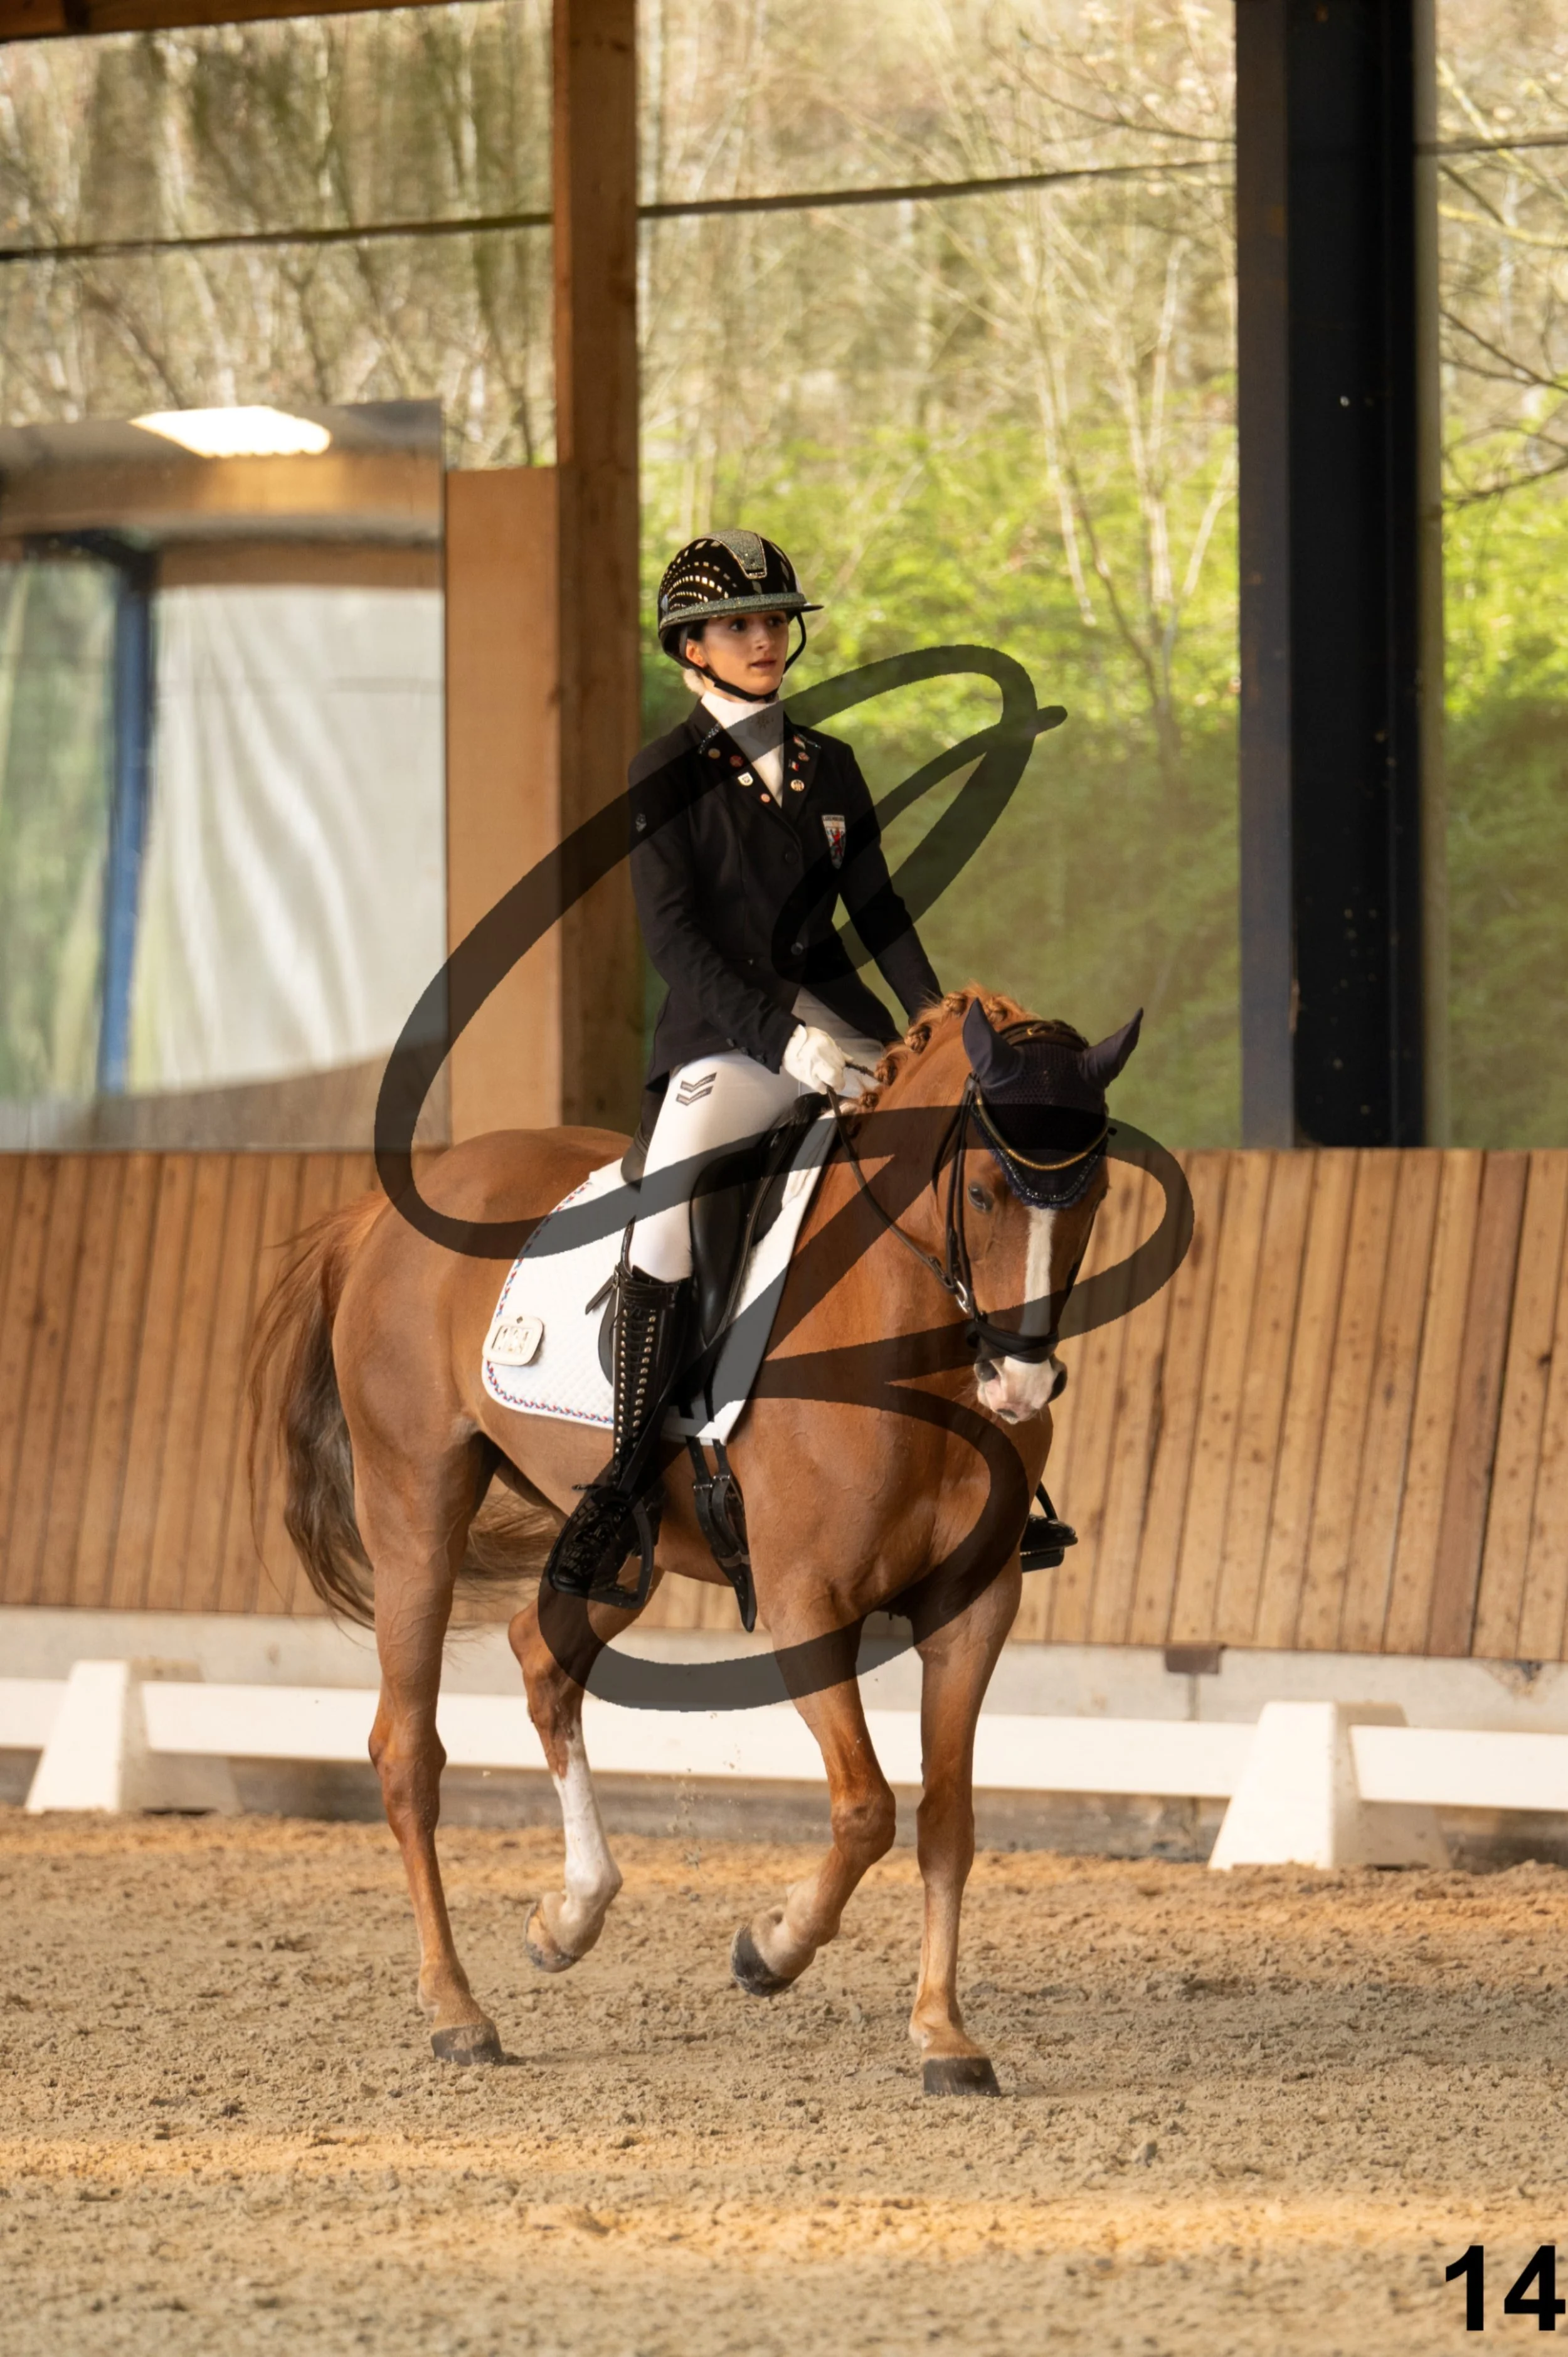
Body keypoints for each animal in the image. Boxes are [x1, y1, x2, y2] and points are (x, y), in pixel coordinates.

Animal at [250, 985, 1134, 2094]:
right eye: (979, 1191)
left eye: (1094, 1191)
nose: (1016, 1386)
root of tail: (384, 1213)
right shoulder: (806, 1603)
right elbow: (866, 1806)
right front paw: (772, 1947)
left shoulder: (974, 1608)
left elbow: (947, 1819)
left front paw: (943, 2032)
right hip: (415, 1509)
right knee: (407, 1749)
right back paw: (458, 2009)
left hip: (614, 1541)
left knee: (543, 1659)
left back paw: (570, 1916)